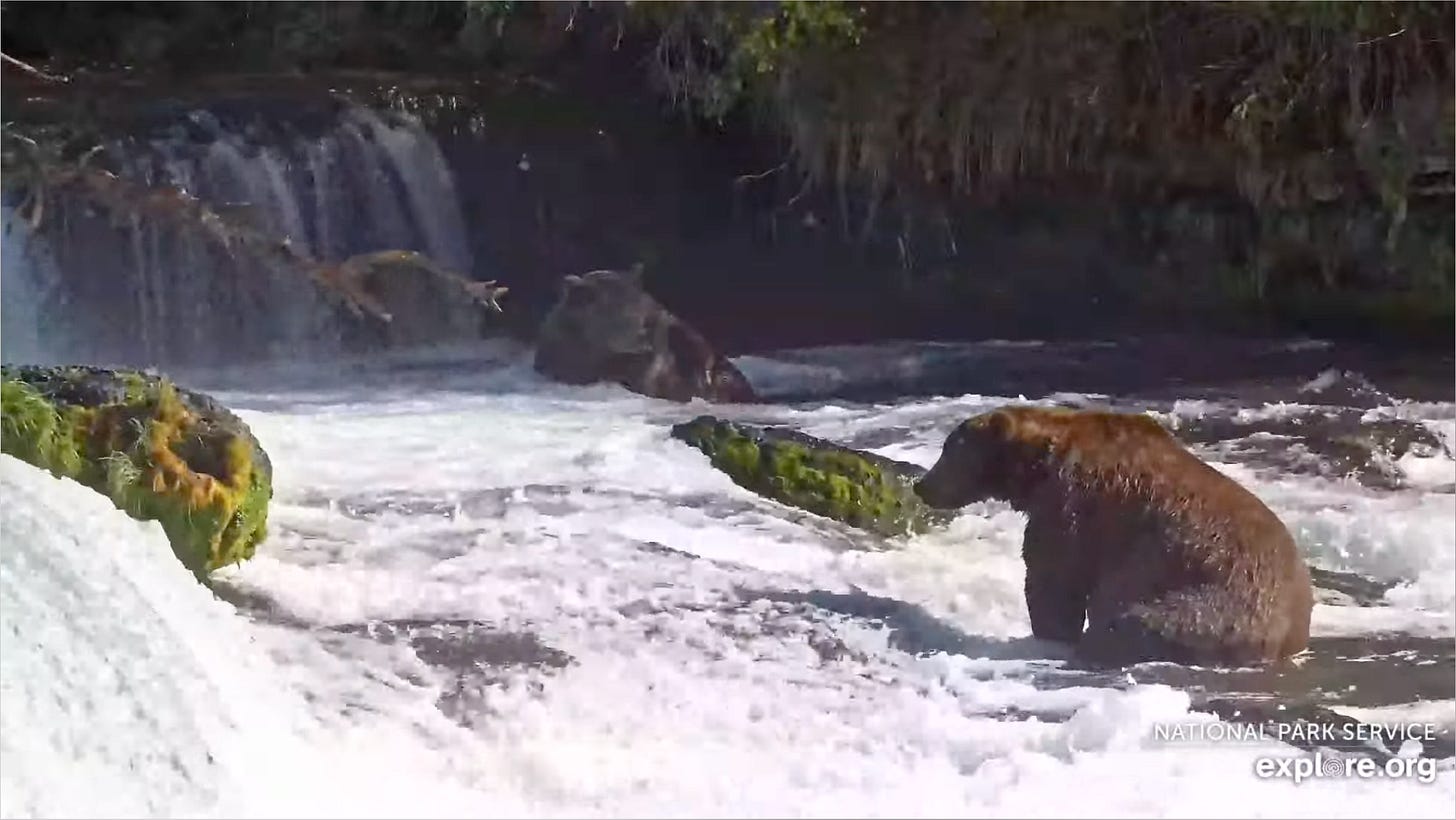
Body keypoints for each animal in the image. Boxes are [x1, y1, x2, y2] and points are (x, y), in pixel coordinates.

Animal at [913, 405, 1313, 667]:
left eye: (948, 450)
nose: (921, 485)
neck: (1038, 464)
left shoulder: (1072, 506)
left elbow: (1054, 581)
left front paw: (1048, 633)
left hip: (1206, 605)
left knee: (1126, 622)